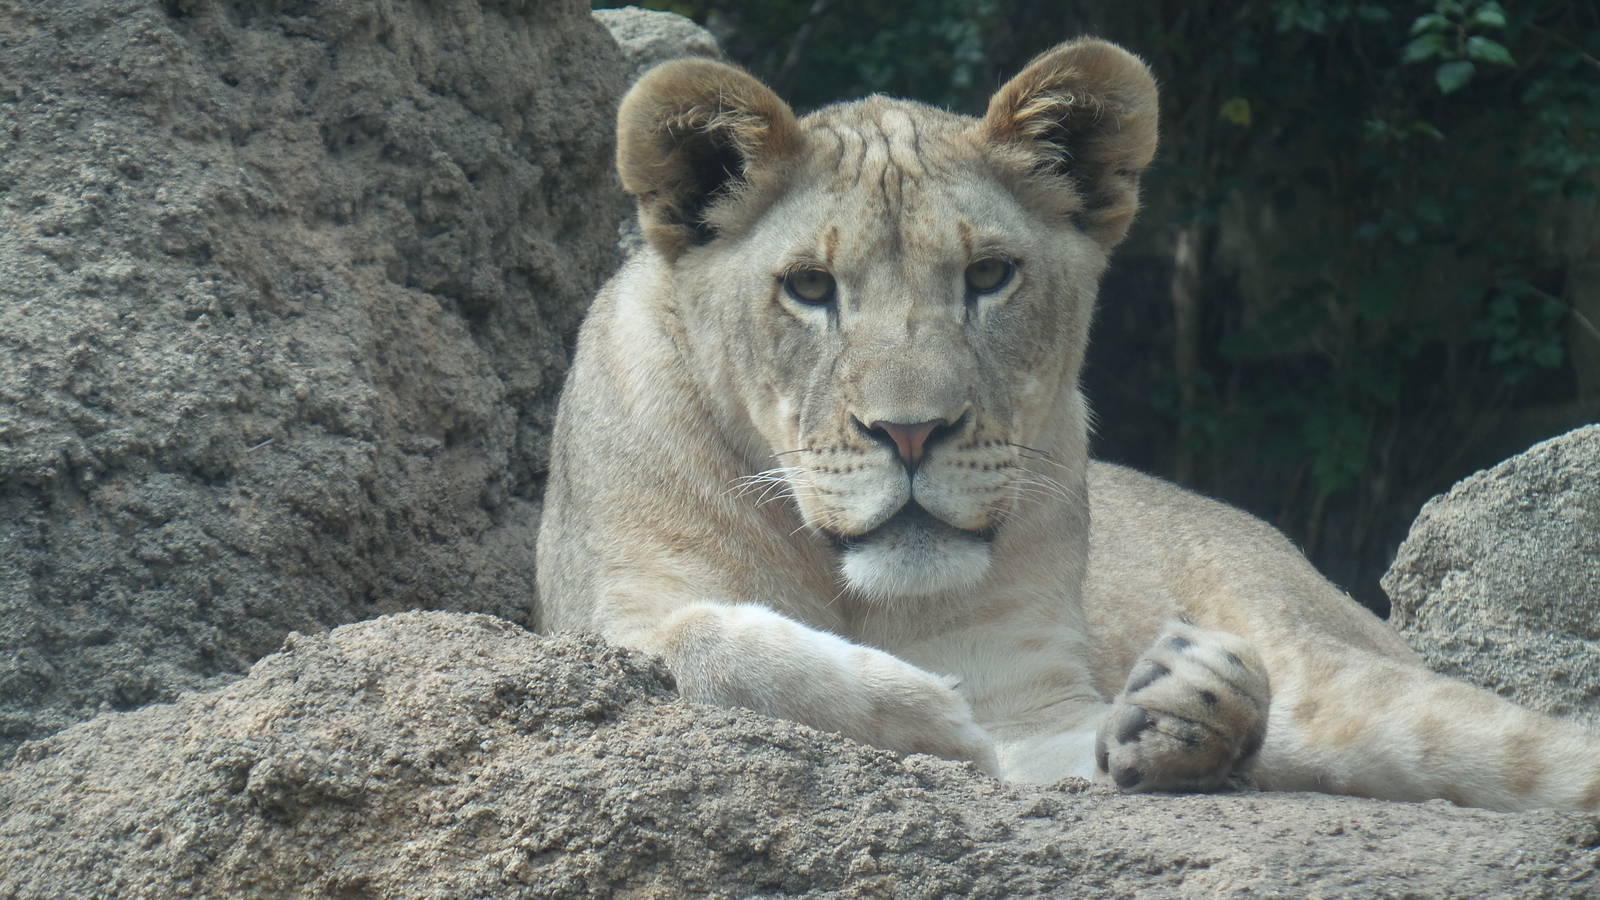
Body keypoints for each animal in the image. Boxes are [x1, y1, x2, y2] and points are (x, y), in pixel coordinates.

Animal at [535, 38, 1600, 811]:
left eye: (988, 276)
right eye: (808, 288)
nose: (912, 433)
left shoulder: (1037, 705)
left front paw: (1193, 708)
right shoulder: (608, 613)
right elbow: (702, 643)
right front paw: (926, 714)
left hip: (1359, 683)